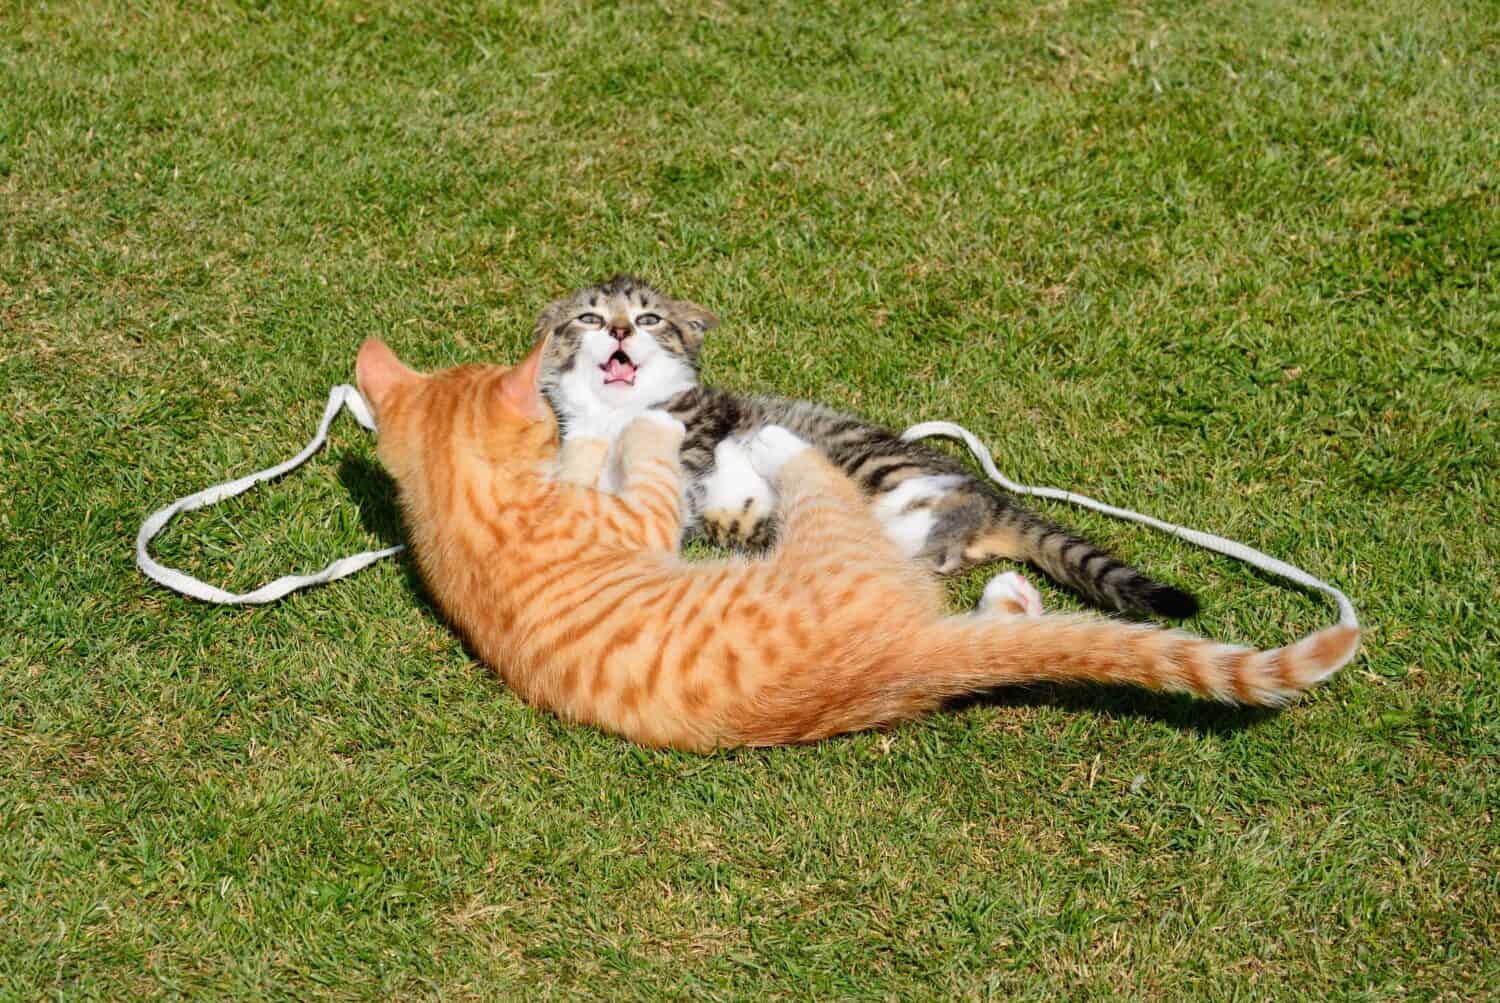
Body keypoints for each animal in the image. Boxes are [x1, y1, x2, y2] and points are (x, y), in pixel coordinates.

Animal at [534, 274, 1200, 617]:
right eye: (590, 319)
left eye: (649, 320)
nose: (621, 330)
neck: (616, 415)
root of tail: (995, 503)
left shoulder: (697, 431)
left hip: (873, 464)